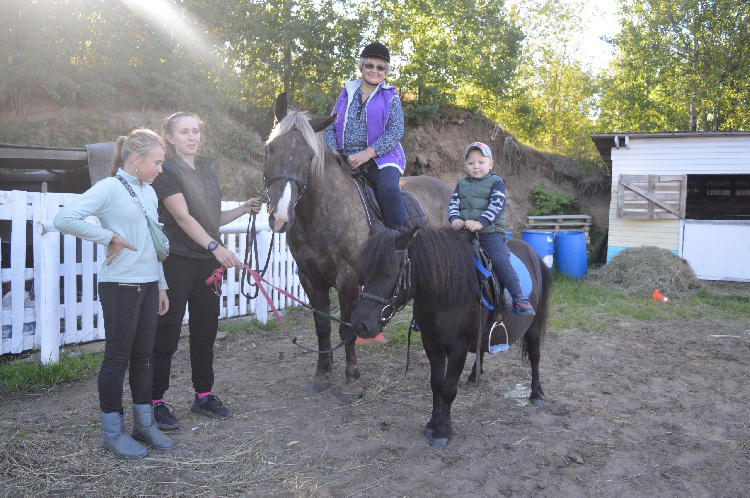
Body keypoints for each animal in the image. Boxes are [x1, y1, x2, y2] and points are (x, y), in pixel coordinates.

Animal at [264, 93, 452, 402]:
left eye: (310, 157)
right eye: (270, 150)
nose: (280, 216)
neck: (322, 213)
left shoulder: (349, 279)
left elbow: (347, 329)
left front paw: (352, 381)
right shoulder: (309, 278)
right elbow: (323, 327)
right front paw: (322, 374)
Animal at [352, 226, 552, 448]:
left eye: (388, 273)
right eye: (365, 273)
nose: (360, 324)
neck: (446, 294)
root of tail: (533, 253)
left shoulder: (458, 349)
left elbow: (448, 389)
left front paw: (443, 432)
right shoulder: (431, 344)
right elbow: (436, 384)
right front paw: (432, 424)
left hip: (533, 327)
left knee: (535, 356)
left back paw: (536, 394)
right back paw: (474, 377)